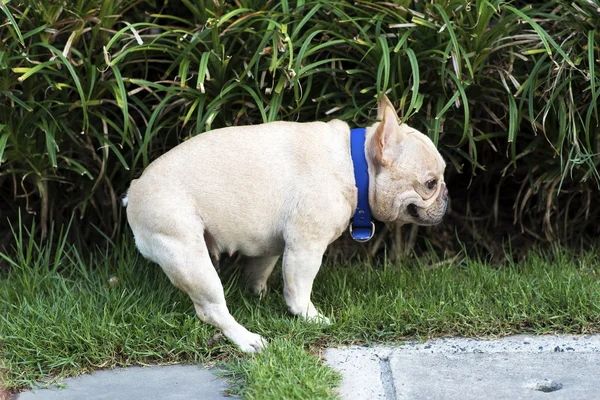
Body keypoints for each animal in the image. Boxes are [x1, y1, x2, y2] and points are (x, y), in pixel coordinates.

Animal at [124, 96, 448, 354]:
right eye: (430, 183)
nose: (447, 195)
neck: (354, 165)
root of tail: (133, 192)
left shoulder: (268, 246)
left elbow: (259, 270)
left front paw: (258, 294)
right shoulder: (306, 246)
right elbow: (299, 289)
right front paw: (309, 317)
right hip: (188, 255)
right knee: (211, 309)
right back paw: (247, 339)